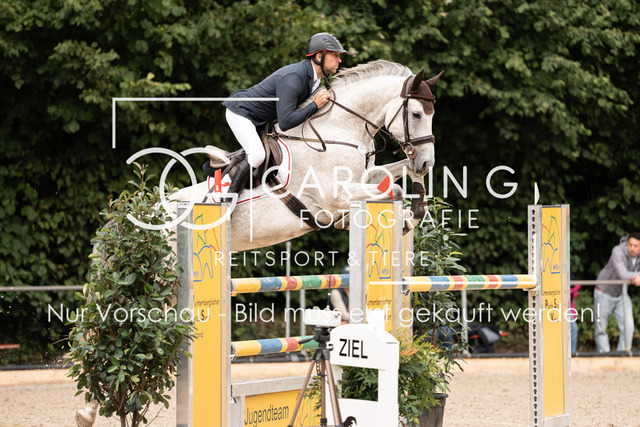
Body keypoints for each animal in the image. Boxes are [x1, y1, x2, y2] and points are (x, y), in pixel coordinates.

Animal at [172, 60, 440, 252]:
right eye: (416, 114)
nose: (427, 162)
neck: (339, 129)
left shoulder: (365, 178)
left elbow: (401, 170)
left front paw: (415, 204)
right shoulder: (334, 194)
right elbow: (395, 191)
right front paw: (404, 219)